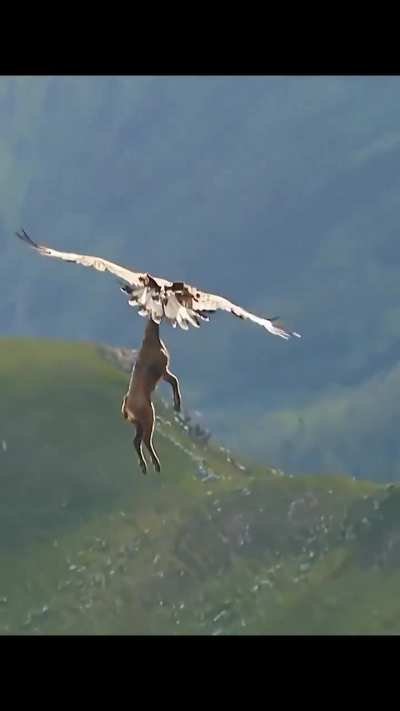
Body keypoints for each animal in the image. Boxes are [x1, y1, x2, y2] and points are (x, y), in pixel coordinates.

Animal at [121, 318, 182, 474]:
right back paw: (156, 464)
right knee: (145, 440)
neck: (151, 340)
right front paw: (177, 405)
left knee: (136, 441)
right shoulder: (163, 369)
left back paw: (144, 466)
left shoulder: (164, 372)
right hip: (148, 418)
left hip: (137, 422)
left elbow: (174, 380)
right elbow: (175, 380)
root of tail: (126, 406)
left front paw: (176, 405)